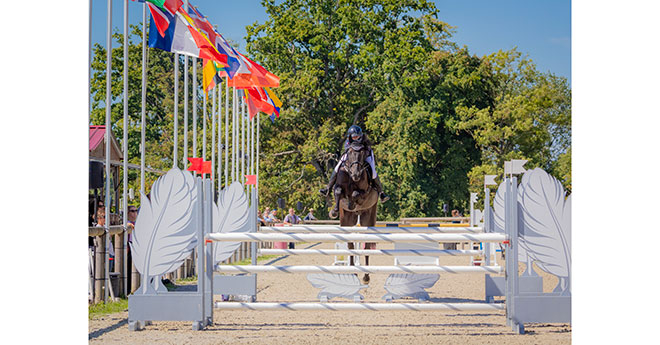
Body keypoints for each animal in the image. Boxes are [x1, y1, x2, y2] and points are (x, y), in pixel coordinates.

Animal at [332, 142, 378, 282]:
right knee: (351, 246)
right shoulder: (339, 187)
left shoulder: (365, 192)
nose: (356, 174)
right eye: (350, 153)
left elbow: (356, 193)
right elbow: (338, 191)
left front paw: (352, 202)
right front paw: (334, 211)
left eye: (363, 154)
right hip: (347, 221)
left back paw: (366, 276)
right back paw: (353, 271)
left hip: (368, 219)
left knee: (367, 247)